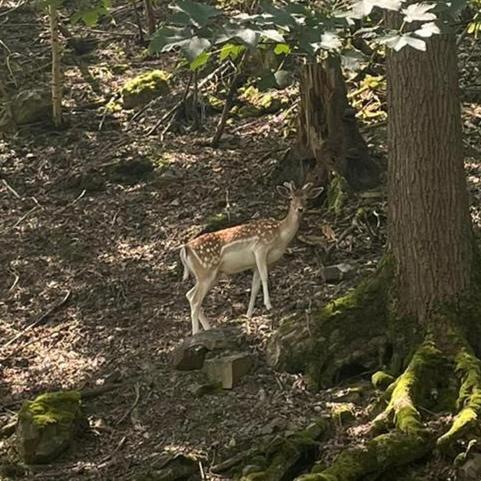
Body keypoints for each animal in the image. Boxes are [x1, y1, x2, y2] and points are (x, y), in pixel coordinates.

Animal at [178, 181, 320, 334]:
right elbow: (265, 277)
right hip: (206, 270)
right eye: (290, 198)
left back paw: (208, 328)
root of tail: (185, 249)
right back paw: (196, 333)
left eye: (306, 199)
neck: (280, 236)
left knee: (189, 295)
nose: (300, 209)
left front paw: (248, 315)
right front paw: (268, 305)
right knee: (195, 300)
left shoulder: (256, 264)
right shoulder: (260, 248)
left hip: (211, 274)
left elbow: (254, 287)